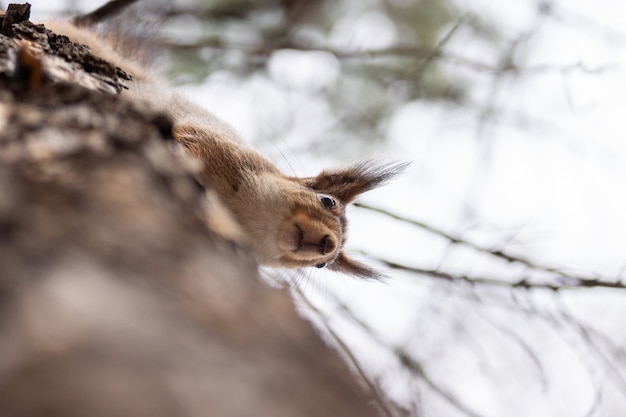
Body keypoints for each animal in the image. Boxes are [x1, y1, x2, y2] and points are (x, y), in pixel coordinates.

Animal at [44, 13, 404, 280]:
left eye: (323, 265)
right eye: (327, 201)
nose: (327, 246)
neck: (238, 210)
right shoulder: (212, 141)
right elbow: (185, 137)